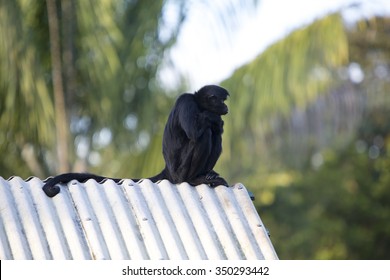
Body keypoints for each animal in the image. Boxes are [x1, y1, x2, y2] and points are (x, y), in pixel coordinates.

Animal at [43, 85, 229, 197]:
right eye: (222, 100)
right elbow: (195, 131)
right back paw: (194, 179)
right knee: (206, 133)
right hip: (181, 170)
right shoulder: (187, 102)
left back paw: (208, 174)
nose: (226, 107)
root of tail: (169, 171)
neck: (198, 104)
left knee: (215, 134)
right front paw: (213, 117)